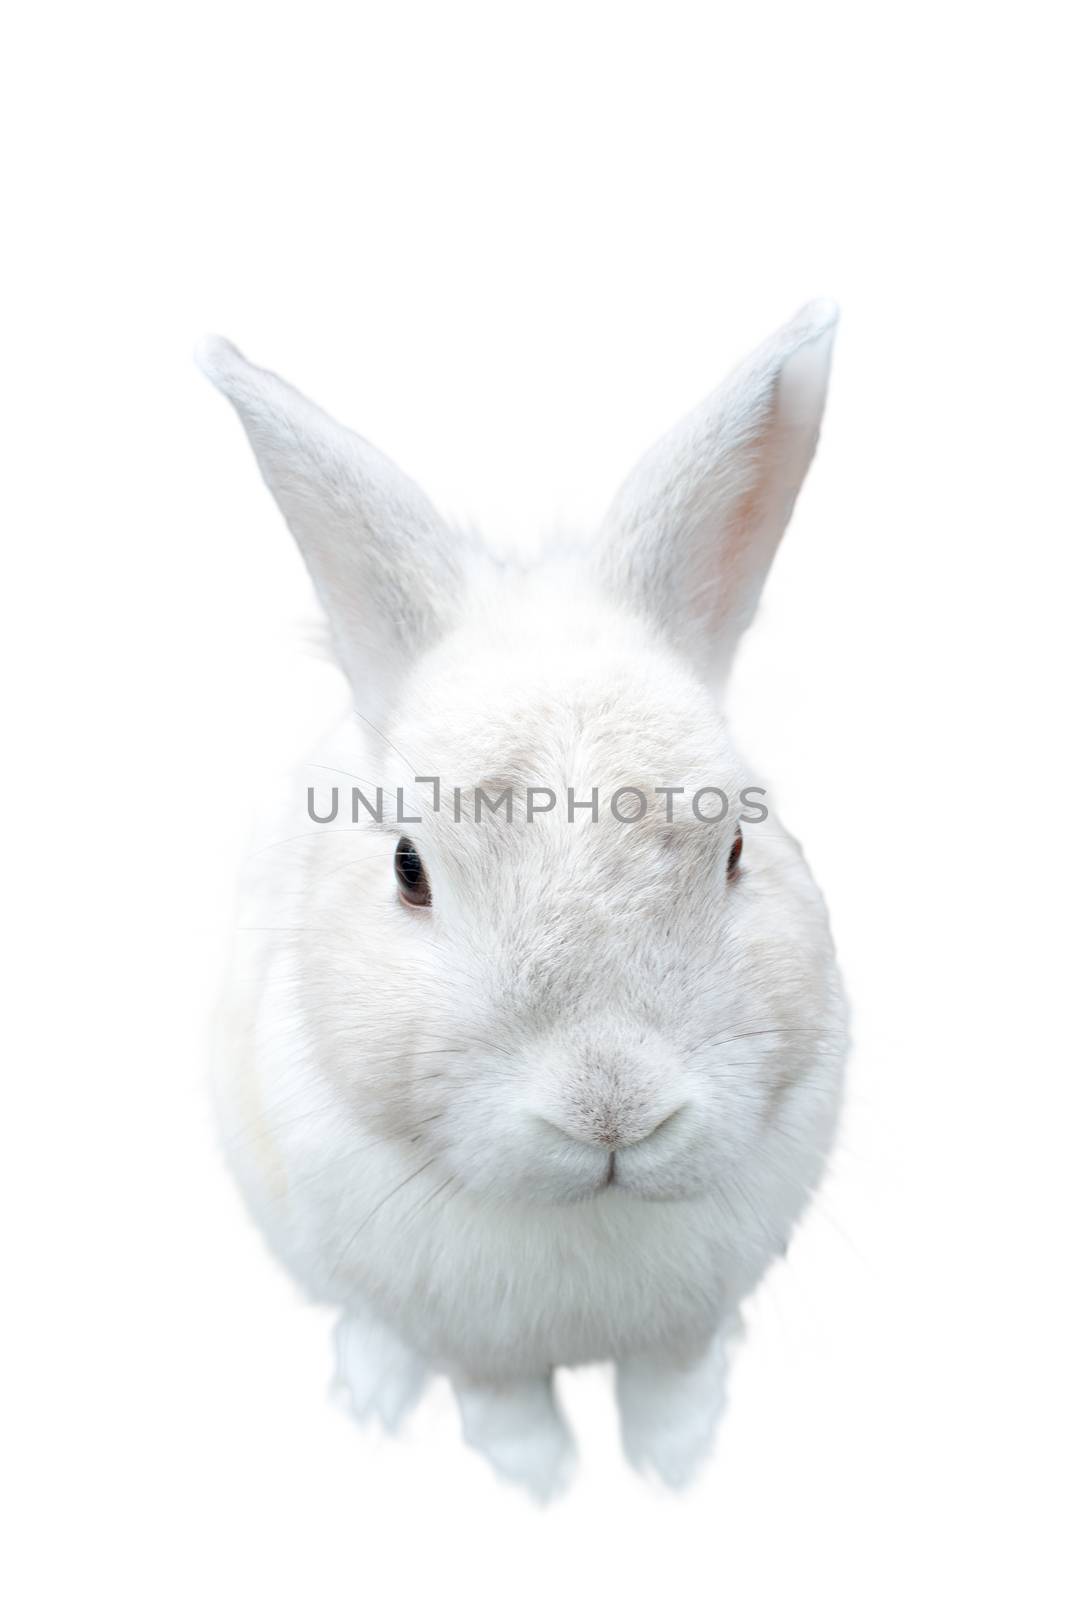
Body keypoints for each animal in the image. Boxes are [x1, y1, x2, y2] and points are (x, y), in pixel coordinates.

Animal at [202, 302, 851, 1497]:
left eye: (738, 842)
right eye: (408, 867)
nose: (612, 1112)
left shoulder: (683, 1321)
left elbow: (669, 1380)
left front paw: (675, 1464)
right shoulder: (469, 1341)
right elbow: (501, 1403)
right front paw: (538, 1483)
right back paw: (370, 1394)